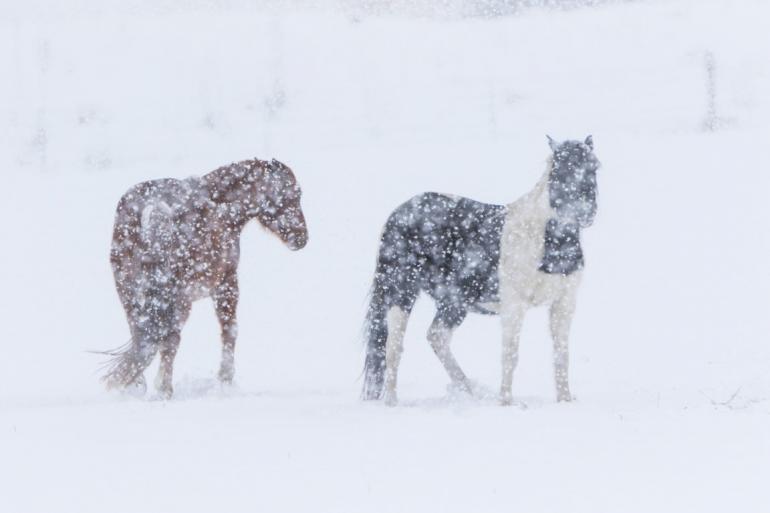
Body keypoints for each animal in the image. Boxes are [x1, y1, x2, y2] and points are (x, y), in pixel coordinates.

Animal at [103, 158, 308, 398]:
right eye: (293, 194)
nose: (301, 238)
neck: (221, 205)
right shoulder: (227, 283)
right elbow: (230, 330)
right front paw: (225, 380)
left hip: (129, 292)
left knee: (140, 334)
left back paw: (135, 385)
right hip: (178, 299)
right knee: (170, 340)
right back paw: (164, 390)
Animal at [362, 135, 600, 404]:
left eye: (594, 167)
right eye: (558, 169)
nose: (585, 212)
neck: (545, 239)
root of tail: (398, 213)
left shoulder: (564, 303)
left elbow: (561, 354)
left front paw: (565, 400)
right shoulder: (514, 305)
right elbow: (510, 355)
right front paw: (506, 403)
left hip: (453, 301)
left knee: (436, 336)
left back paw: (469, 391)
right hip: (401, 292)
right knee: (393, 346)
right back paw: (392, 402)